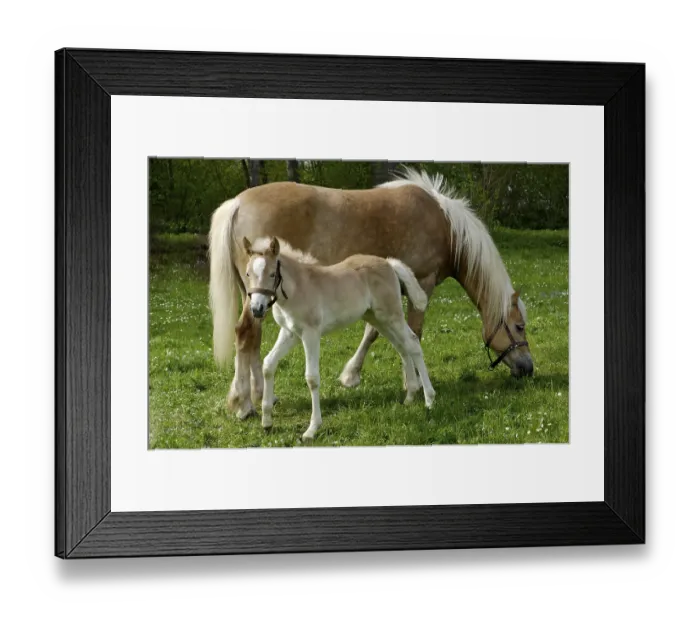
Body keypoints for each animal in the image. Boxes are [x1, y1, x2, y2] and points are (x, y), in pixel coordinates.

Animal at [240, 235, 436, 440]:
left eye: (272, 274)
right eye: (247, 274)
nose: (257, 309)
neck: (297, 289)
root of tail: (388, 263)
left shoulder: (310, 333)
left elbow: (312, 377)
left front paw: (312, 429)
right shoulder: (289, 333)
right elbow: (269, 364)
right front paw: (267, 422)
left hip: (392, 315)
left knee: (412, 343)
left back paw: (429, 400)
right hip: (377, 318)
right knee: (401, 347)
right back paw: (410, 396)